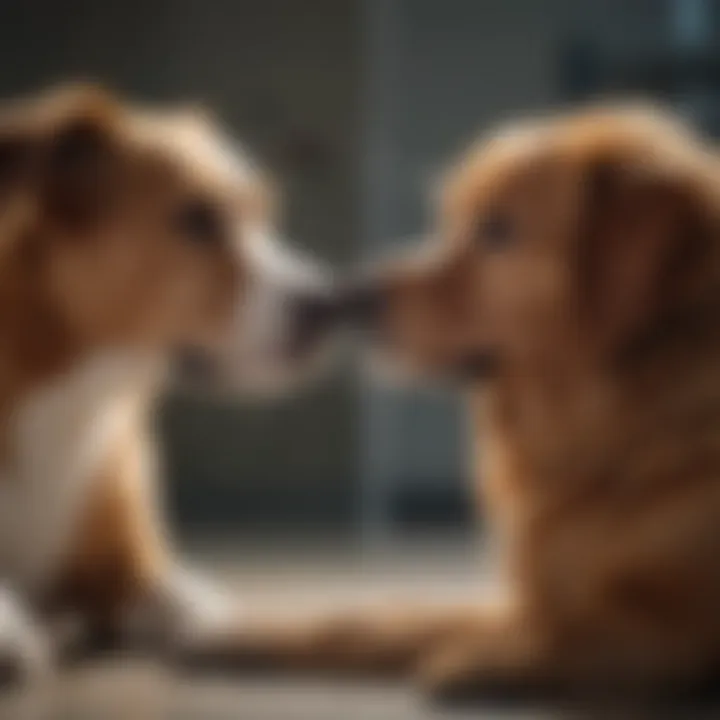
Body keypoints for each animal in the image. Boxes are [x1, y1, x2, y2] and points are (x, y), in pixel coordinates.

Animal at [0, 84, 338, 680]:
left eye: (265, 212)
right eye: (197, 218)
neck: (76, 400)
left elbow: (192, 603)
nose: (330, 304)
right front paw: (12, 628)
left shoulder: (133, 569)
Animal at [219, 105, 720, 696]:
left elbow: (580, 626)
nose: (350, 296)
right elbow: (385, 617)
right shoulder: (522, 598)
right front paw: (246, 632)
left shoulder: (680, 626)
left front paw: (480, 656)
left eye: (497, 229)